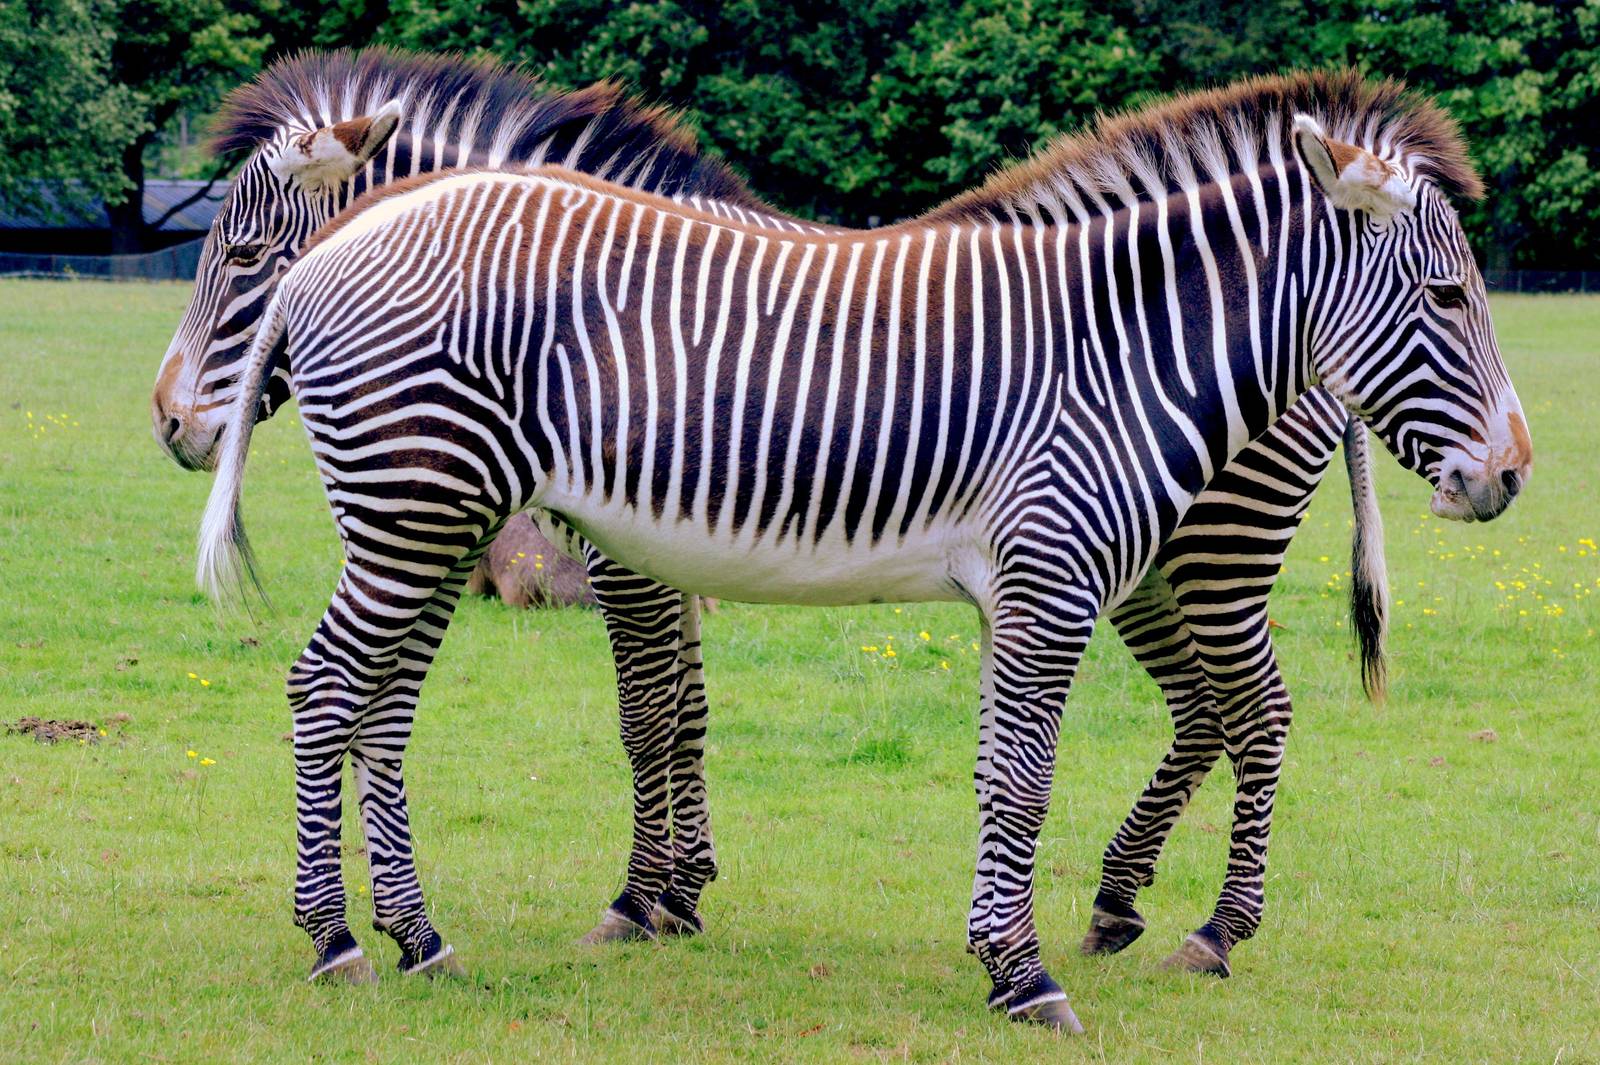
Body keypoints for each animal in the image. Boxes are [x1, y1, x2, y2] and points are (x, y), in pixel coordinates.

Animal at [190, 71, 1531, 1029]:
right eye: (1450, 299)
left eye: (237, 254)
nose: (1514, 476)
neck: (1125, 348)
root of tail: (350, 242)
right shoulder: (1041, 578)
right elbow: (996, 774)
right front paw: (1021, 976)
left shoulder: (1024, 584)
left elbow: (987, 773)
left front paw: (990, 954)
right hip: (418, 510)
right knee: (329, 690)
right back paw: (341, 940)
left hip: (428, 513)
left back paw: (415, 938)